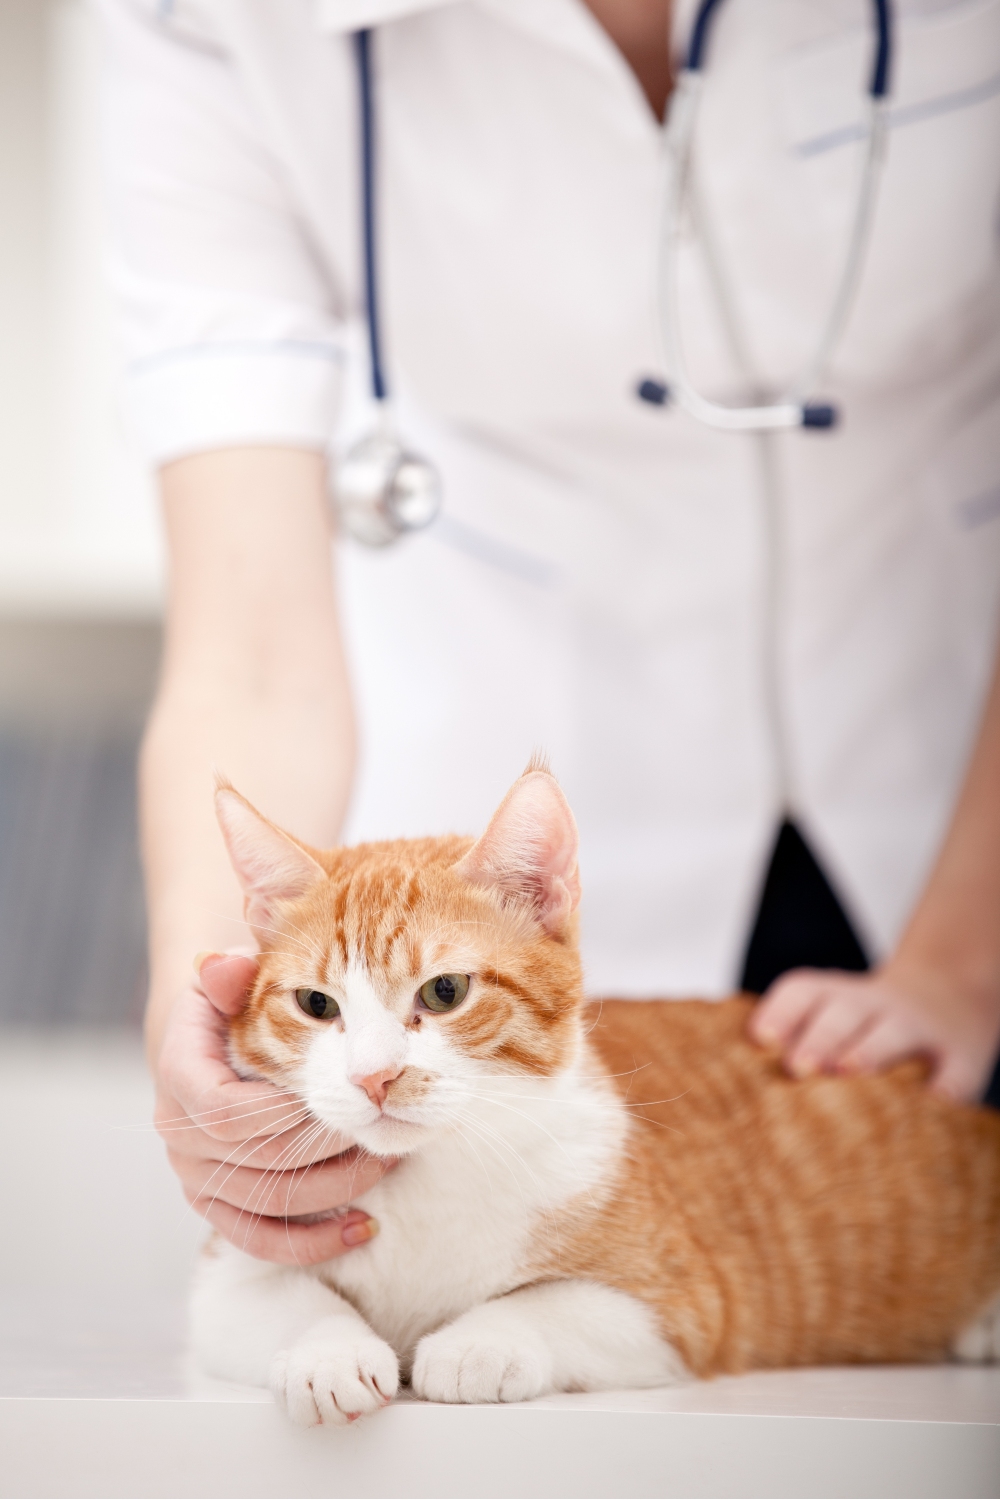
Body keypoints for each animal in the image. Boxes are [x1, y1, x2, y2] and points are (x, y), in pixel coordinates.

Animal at [189, 768, 1000, 1422]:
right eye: (316, 1004)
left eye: (444, 992)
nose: (373, 1076)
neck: (433, 1177)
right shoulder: (232, 1274)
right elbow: (283, 1302)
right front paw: (329, 1353)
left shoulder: (685, 1305)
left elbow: (553, 1303)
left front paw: (479, 1343)